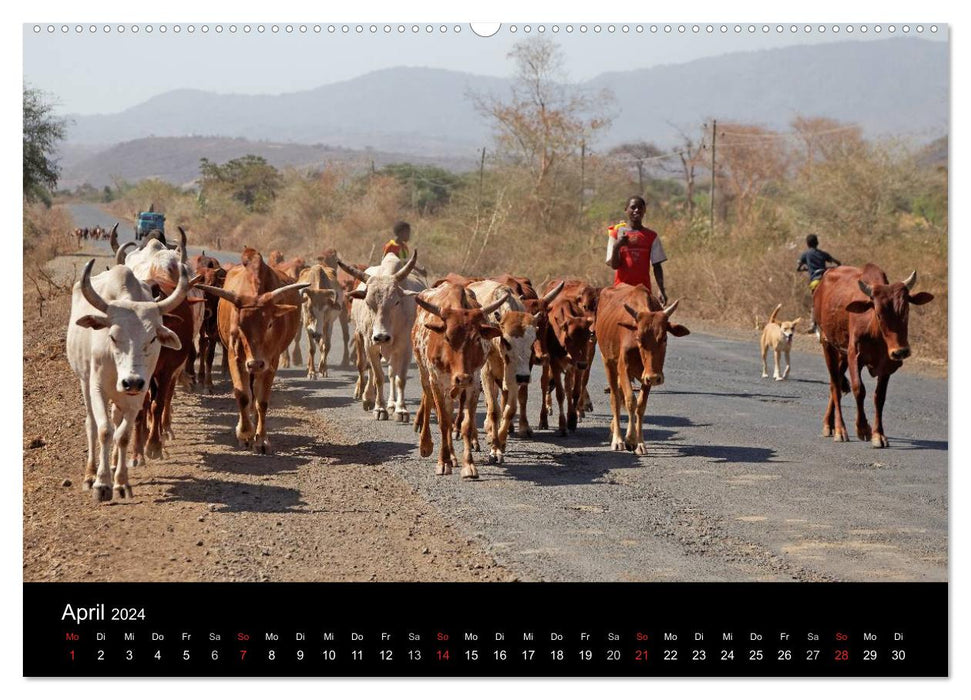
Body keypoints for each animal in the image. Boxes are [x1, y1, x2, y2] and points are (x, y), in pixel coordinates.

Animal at [201, 249, 312, 452]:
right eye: (240, 326)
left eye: (269, 324)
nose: (255, 363)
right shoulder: (236, 358)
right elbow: (243, 395)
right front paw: (245, 433)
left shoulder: (271, 362)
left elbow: (262, 401)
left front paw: (261, 439)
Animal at [410, 282, 504, 478]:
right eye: (447, 337)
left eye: (477, 338)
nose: (462, 378)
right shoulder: (437, 381)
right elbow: (444, 422)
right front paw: (443, 462)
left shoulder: (474, 383)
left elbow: (465, 424)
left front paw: (468, 465)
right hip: (424, 374)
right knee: (430, 403)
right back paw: (428, 446)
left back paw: (454, 457)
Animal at [596, 284, 688, 454]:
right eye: (639, 338)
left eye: (664, 338)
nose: (654, 377)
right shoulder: (623, 369)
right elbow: (630, 401)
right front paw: (630, 439)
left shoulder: (648, 376)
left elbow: (640, 406)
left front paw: (639, 443)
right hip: (608, 362)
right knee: (615, 398)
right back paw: (617, 439)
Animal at [812, 266, 936, 446]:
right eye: (878, 313)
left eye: (906, 310)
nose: (901, 351)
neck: (875, 331)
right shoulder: (854, 356)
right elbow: (859, 389)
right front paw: (863, 429)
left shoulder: (887, 364)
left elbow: (879, 397)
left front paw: (878, 434)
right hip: (827, 344)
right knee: (835, 386)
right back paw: (840, 429)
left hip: (841, 353)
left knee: (835, 385)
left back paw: (829, 424)